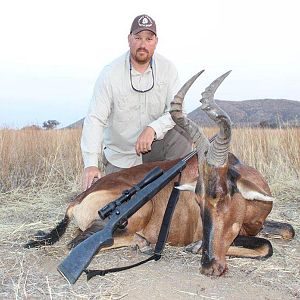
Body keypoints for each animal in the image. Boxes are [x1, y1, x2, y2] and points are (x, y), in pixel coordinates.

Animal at [24, 71, 294, 276]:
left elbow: (286, 231)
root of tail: (78, 199)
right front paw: (195, 246)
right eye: (198, 200)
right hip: (141, 209)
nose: (209, 267)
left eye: (222, 194)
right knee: (76, 242)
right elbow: (266, 246)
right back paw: (141, 244)